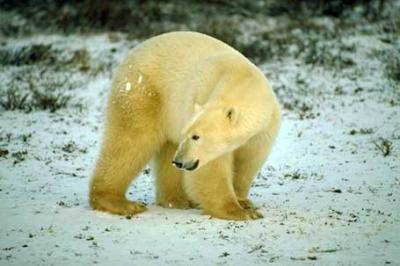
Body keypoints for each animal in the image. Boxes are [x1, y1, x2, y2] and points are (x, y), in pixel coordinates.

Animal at [89, 31, 280, 220]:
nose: (179, 161)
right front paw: (239, 211)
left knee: (166, 150)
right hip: (144, 94)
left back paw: (177, 199)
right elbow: (212, 168)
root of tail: (131, 53)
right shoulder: (202, 97)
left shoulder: (264, 129)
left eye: (195, 136)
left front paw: (244, 202)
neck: (242, 78)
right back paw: (120, 203)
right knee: (130, 143)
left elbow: (249, 161)